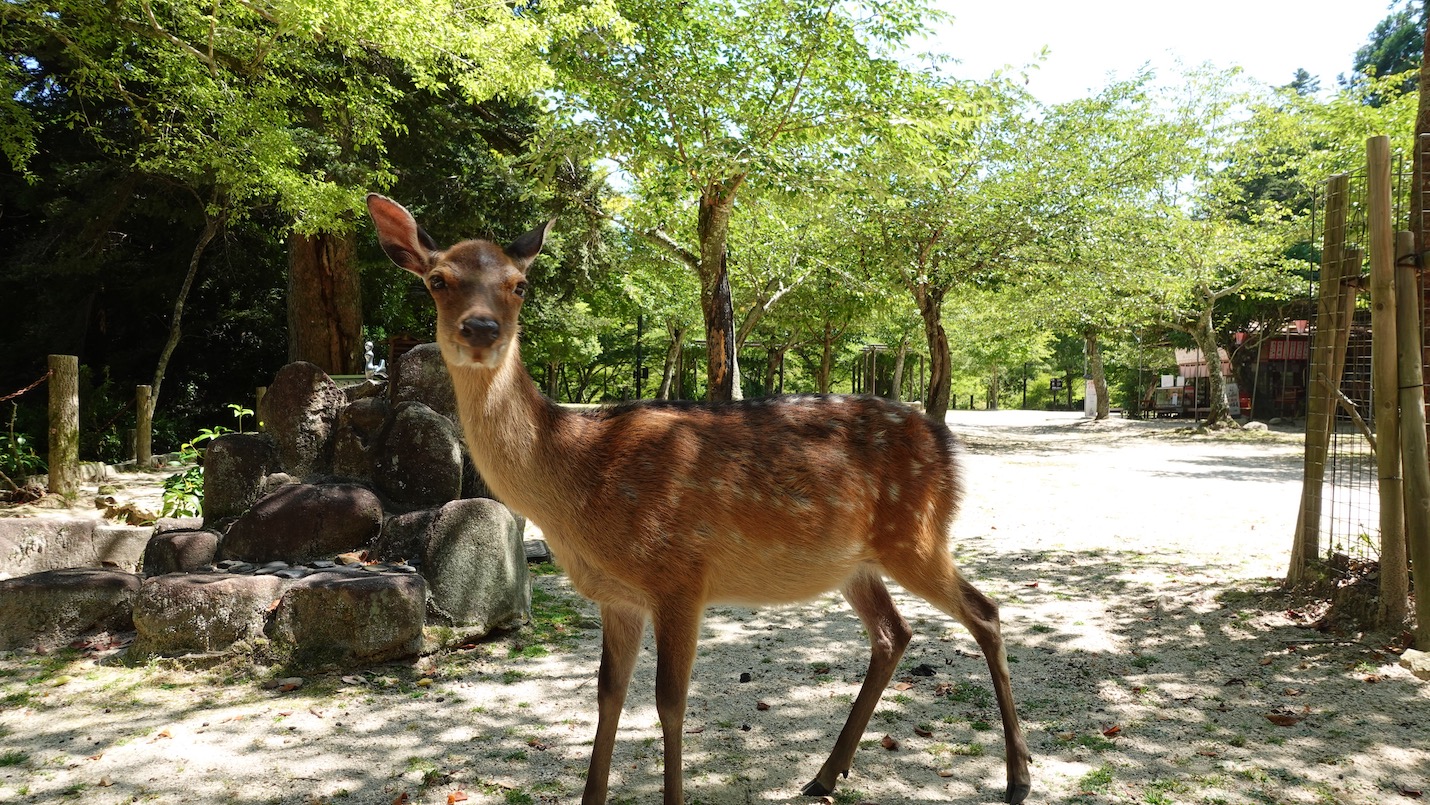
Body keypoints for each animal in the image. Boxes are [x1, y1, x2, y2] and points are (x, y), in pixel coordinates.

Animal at [365, 194, 1031, 804]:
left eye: (519, 284)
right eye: (437, 280)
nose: (481, 329)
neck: (580, 487)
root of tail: (947, 445)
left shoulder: (681, 574)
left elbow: (669, 701)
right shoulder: (617, 595)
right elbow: (608, 692)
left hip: (915, 533)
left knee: (984, 612)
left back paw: (1018, 777)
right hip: (856, 562)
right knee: (895, 632)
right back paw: (824, 775)